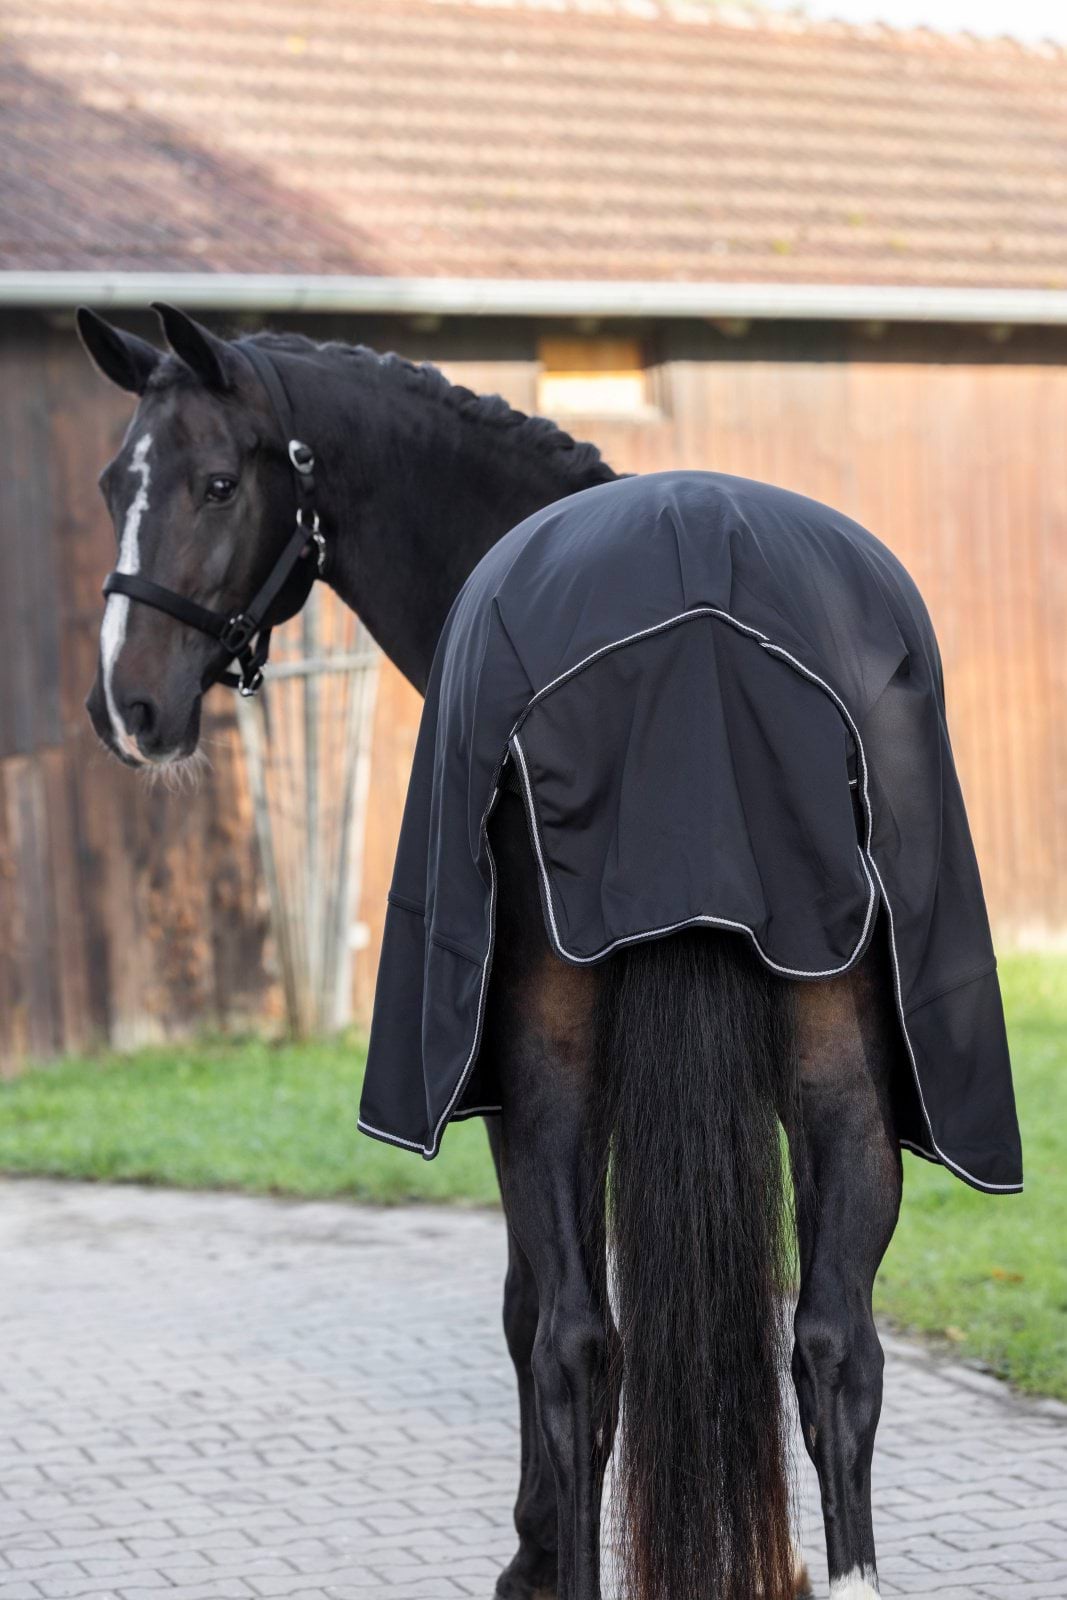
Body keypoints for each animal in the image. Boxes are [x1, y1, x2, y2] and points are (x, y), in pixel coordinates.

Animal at [75, 303, 996, 1600]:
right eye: (118, 484)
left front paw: (529, 1545)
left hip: (547, 1070)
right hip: (839, 1076)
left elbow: (525, 1312)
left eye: (215, 482)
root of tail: (699, 643)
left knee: (575, 1342)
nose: (128, 710)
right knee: (832, 1349)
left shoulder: (514, 1095)